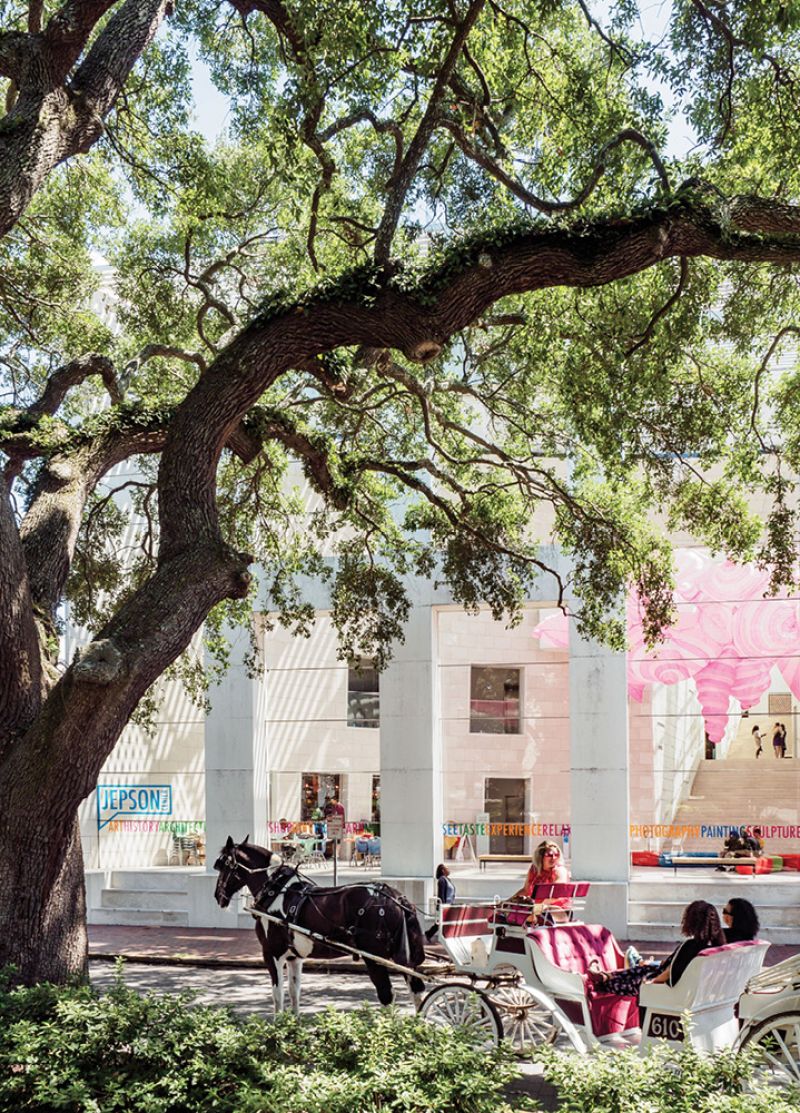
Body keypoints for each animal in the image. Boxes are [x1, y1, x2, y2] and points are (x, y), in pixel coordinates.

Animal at [211, 836, 425, 1019]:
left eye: (223, 866)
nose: (217, 896)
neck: (275, 890)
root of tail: (396, 898)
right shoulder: (294, 957)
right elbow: (294, 992)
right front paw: (293, 1026)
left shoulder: (272, 953)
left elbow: (277, 994)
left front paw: (278, 1026)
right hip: (402, 958)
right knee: (417, 990)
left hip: (374, 958)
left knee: (387, 995)